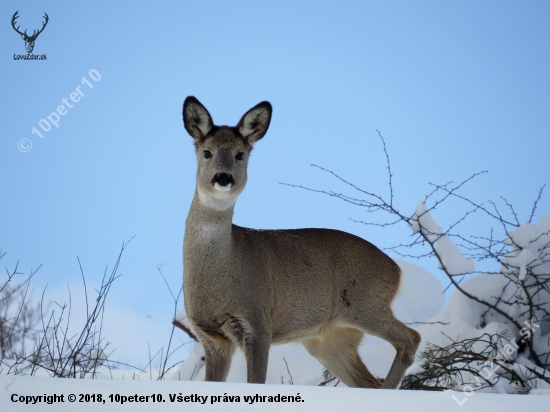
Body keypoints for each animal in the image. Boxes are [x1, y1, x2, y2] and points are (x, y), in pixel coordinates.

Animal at [183, 96, 420, 390]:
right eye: (207, 152)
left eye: (240, 154)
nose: (223, 177)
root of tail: (396, 271)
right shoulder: (211, 336)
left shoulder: (258, 322)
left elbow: (257, 381)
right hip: (330, 339)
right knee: (367, 380)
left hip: (367, 304)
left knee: (411, 338)